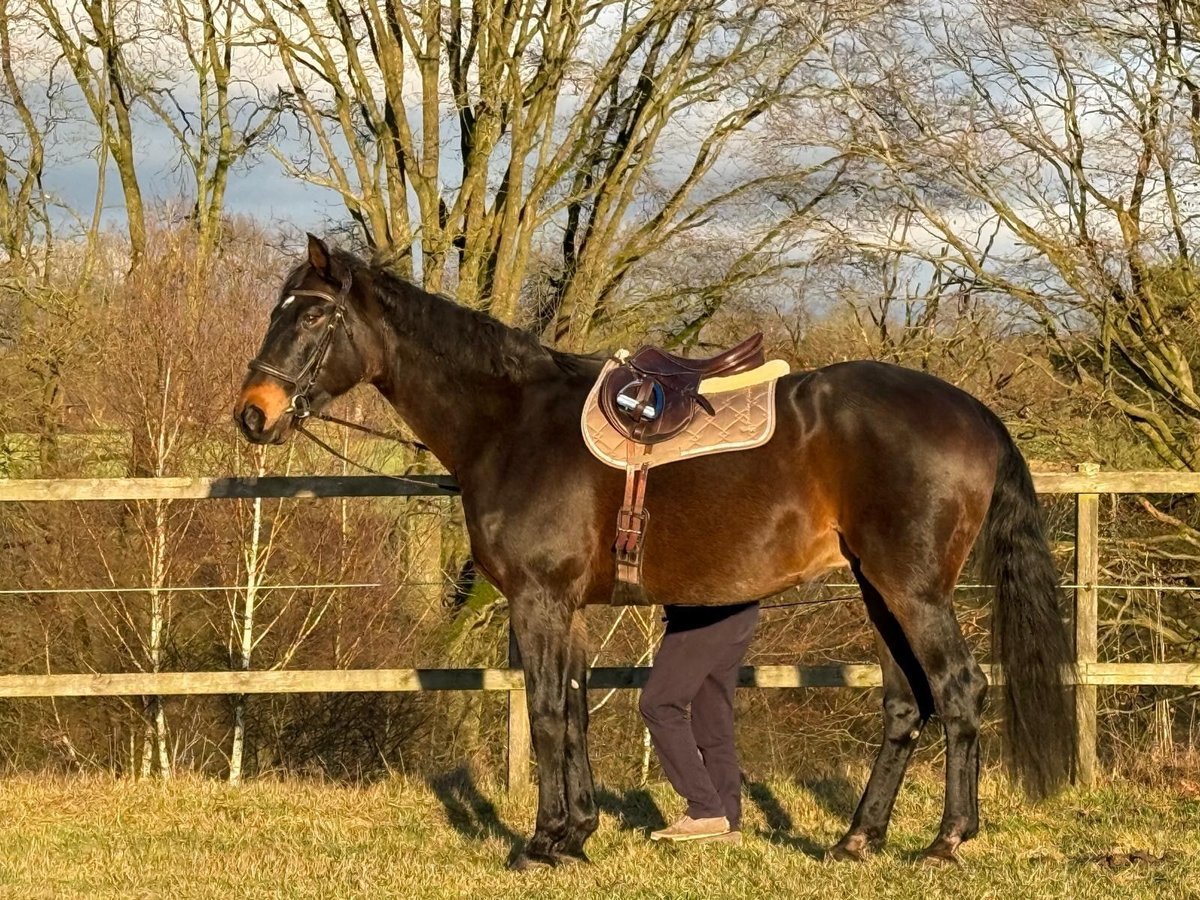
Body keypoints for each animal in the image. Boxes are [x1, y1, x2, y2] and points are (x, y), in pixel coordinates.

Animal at [236, 236, 1080, 868]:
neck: (512, 422)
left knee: (960, 690)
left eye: (313, 316)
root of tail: (973, 411)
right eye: (275, 311)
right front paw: (575, 834)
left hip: (914, 592)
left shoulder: (538, 600)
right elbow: (575, 707)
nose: (253, 414)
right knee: (906, 701)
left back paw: (946, 840)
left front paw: (539, 844)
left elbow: (547, 711)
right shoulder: (569, 608)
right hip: (880, 593)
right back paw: (857, 839)